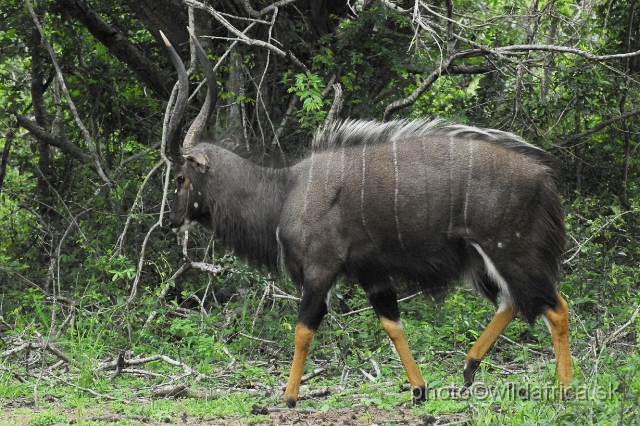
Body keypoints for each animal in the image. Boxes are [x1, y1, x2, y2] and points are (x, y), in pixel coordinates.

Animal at [162, 28, 572, 408]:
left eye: (180, 177)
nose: (171, 220)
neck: (285, 193)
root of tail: (545, 178)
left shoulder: (321, 267)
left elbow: (303, 328)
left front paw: (290, 397)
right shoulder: (370, 272)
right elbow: (392, 324)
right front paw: (419, 389)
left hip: (509, 249)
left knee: (555, 306)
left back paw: (566, 391)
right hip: (486, 261)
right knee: (515, 301)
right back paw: (470, 367)